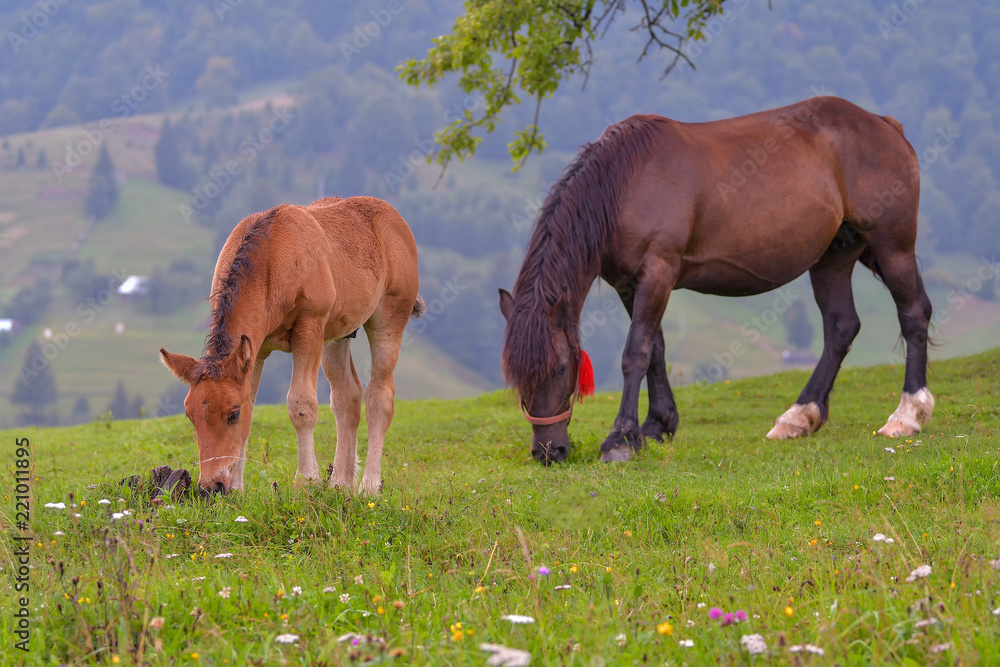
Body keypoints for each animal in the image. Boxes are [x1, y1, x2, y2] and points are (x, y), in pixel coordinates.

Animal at [160, 196, 424, 495]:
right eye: (190, 416)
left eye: (233, 415)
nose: (211, 486)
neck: (273, 257)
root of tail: (396, 218)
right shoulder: (256, 348)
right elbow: (252, 403)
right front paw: (238, 488)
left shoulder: (310, 327)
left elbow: (302, 404)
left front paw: (306, 480)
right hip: (337, 335)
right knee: (347, 397)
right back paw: (339, 484)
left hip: (388, 320)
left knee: (380, 397)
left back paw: (368, 487)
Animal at [500, 96, 934, 464]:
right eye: (517, 375)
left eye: (561, 368)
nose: (548, 451)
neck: (625, 184)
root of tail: (884, 125)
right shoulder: (630, 284)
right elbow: (655, 349)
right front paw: (657, 425)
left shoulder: (658, 272)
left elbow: (635, 353)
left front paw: (621, 439)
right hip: (833, 257)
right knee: (841, 328)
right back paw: (798, 417)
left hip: (891, 246)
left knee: (913, 313)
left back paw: (907, 415)